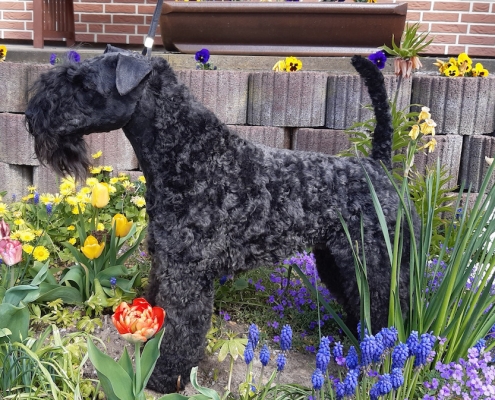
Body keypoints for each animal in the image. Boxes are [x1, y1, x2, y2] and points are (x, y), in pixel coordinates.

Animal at [26, 47, 418, 394]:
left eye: (84, 84)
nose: (31, 116)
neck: (190, 154)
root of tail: (379, 165)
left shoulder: (187, 272)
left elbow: (180, 328)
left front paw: (163, 376)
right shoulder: (165, 260)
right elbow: (157, 307)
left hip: (374, 259)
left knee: (390, 304)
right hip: (336, 260)